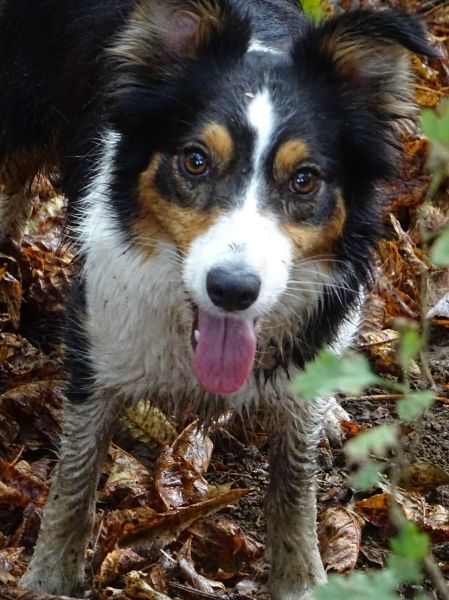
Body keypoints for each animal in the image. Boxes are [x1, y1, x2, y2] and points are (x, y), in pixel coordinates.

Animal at [0, 0, 434, 598]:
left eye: (304, 180)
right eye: (195, 161)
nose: (232, 290)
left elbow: (294, 486)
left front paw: (302, 578)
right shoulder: (99, 340)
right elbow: (76, 472)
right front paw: (49, 575)